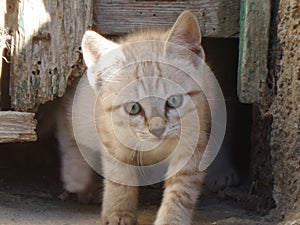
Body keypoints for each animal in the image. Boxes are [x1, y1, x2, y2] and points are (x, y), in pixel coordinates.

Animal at [56, 11, 227, 225]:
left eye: (174, 101)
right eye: (133, 107)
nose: (158, 130)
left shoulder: (194, 139)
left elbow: (181, 189)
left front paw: (171, 219)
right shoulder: (112, 137)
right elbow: (119, 175)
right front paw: (118, 212)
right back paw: (77, 177)